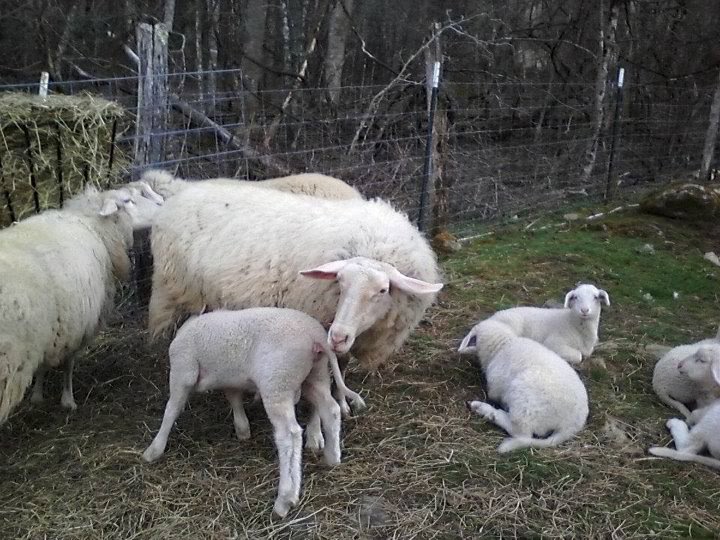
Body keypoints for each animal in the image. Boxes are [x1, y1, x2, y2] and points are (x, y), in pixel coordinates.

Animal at [0, 182, 163, 423]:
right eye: (127, 200)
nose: (163, 204)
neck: (94, 225)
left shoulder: (52, 328)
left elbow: (43, 364)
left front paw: (37, 395)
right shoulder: (76, 324)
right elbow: (68, 364)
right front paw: (68, 400)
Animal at [142, 307, 362, 517]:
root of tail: (315, 336)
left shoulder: (183, 371)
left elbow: (171, 410)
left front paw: (154, 449)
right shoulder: (230, 379)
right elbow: (233, 397)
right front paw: (242, 429)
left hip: (277, 380)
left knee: (289, 435)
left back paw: (285, 498)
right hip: (315, 375)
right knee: (331, 410)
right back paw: (332, 458)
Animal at [459, 319, 589, 453]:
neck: (503, 344)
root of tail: (571, 424)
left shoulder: (495, 386)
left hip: (524, 403)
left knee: (521, 433)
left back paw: (483, 409)